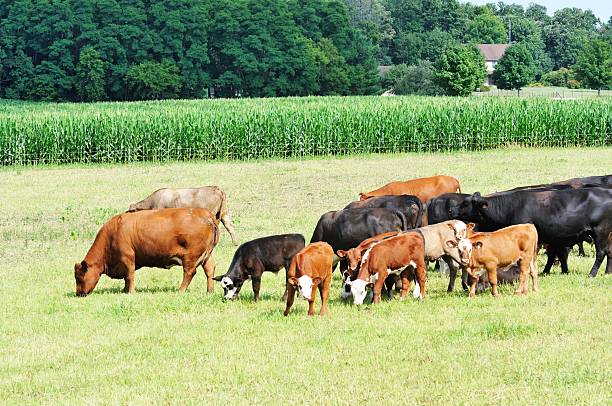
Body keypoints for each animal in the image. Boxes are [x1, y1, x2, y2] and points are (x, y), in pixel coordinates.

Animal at [74, 208, 219, 296]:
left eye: (79, 278)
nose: (79, 294)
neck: (113, 233)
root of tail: (205, 213)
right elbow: (126, 278)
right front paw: (124, 290)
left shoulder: (127, 257)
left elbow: (129, 275)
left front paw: (130, 291)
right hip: (207, 256)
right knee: (209, 270)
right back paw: (210, 291)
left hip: (190, 257)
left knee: (189, 272)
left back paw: (180, 291)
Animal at [449, 187, 612, 277]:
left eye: (465, 203)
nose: (451, 210)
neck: (509, 207)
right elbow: (555, 255)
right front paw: (552, 271)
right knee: (609, 252)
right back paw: (607, 272)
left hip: (600, 232)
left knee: (601, 253)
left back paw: (592, 273)